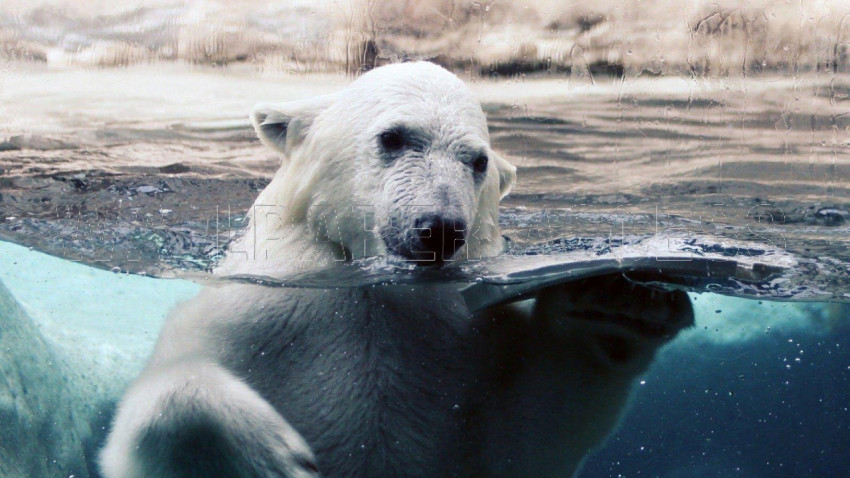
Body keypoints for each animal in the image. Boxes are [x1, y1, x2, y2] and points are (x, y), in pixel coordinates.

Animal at [100, 61, 694, 478]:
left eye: (478, 161)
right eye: (393, 136)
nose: (440, 227)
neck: (373, 288)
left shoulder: (468, 342)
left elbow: (528, 433)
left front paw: (618, 302)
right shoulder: (258, 312)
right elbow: (155, 409)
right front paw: (271, 459)